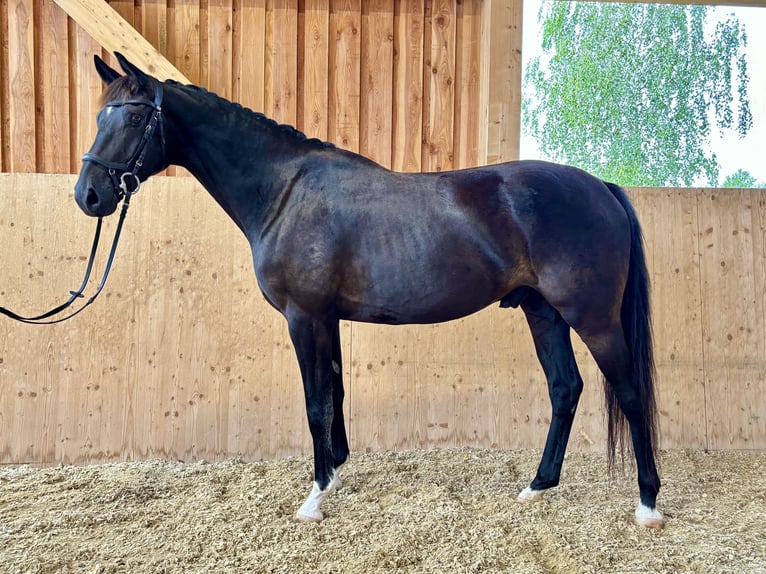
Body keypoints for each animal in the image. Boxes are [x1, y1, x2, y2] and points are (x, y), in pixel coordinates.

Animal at [73, 55, 664, 532]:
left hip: (592, 318)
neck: (284, 192)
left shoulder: (304, 317)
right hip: (543, 312)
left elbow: (315, 401)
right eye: (100, 116)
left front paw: (314, 499)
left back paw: (647, 504)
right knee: (565, 388)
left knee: (630, 392)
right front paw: (334, 472)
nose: (89, 195)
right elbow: (335, 394)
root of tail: (600, 187)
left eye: (133, 117)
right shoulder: (327, 319)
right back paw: (538, 486)